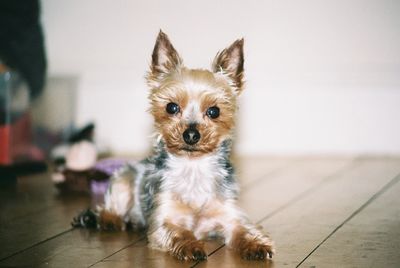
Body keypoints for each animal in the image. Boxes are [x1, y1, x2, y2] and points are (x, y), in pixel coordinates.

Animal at [74, 30, 276, 260]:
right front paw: (191, 246)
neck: (193, 167)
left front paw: (256, 245)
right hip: (122, 180)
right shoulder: (163, 220)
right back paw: (108, 220)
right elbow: (178, 232)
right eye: (171, 107)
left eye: (214, 111)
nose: (191, 134)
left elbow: (245, 230)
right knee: (110, 208)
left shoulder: (230, 216)